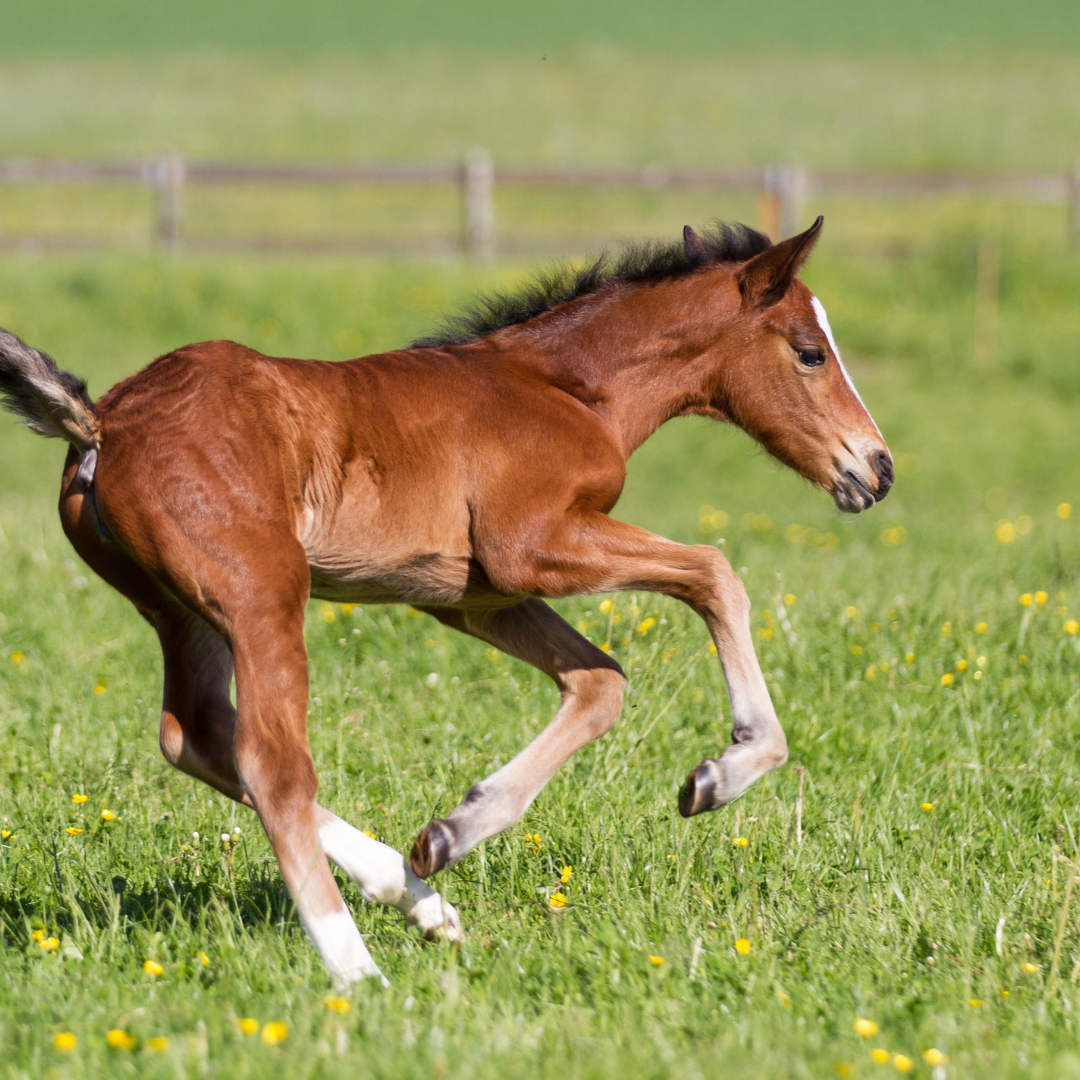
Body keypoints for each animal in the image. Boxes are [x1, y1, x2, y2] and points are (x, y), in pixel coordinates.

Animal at [0, 216, 891, 987]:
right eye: (810, 353)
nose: (876, 470)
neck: (566, 389)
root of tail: (104, 423)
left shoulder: (474, 596)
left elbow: (600, 682)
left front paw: (451, 834)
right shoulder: (533, 546)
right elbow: (715, 572)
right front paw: (725, 771)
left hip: (183, 613)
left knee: (196, 735)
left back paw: (420, 900)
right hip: (261, 595)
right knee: (271, 764)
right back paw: (358, 971)